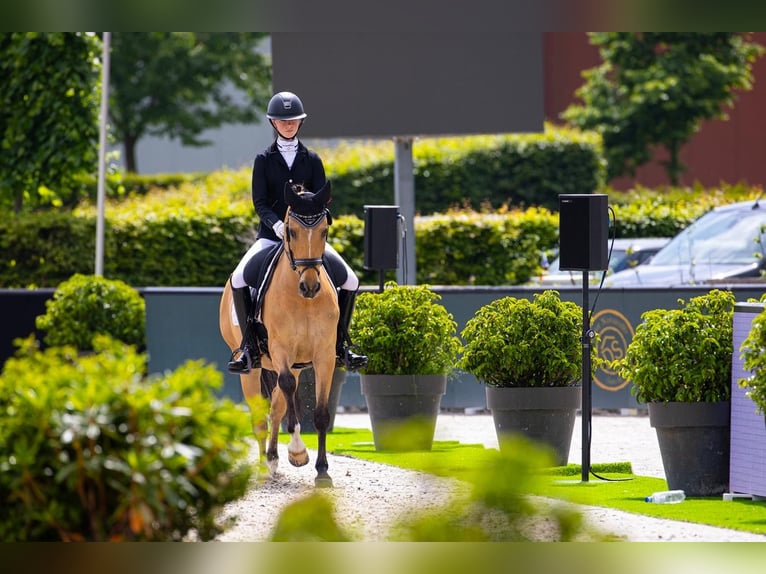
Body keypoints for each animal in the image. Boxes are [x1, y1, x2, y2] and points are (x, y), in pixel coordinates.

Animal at [219, 182, 340, 488]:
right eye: (290, 231)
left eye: (324, 230)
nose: (310, 286)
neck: (303, 301)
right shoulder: (281, 350)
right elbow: (286, 390)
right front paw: (297, 451)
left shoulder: (324, 357)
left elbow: (320, 414)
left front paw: (322, 470)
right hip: (251, 369)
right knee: (260, 417)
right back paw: (264, 467)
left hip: (296, 364)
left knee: (275, 408)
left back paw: (273, 460)